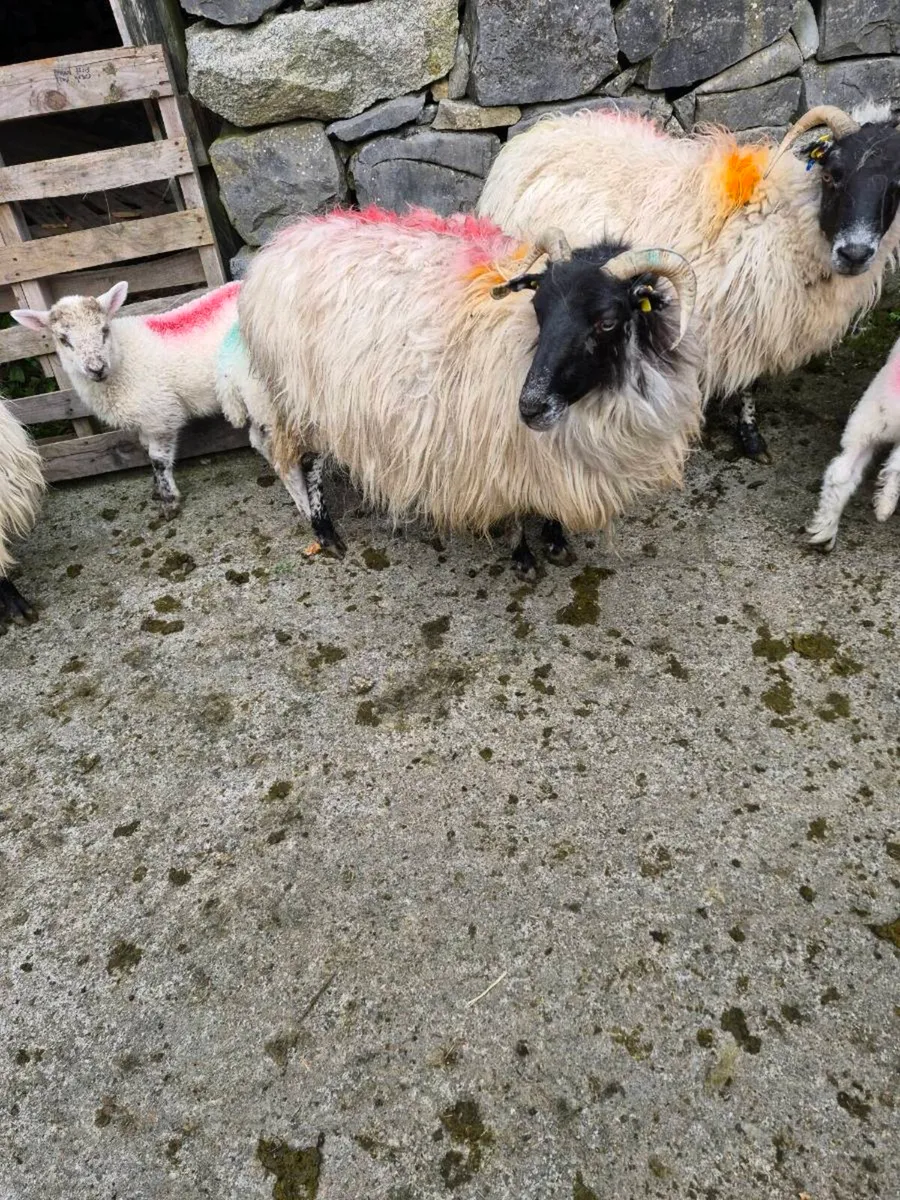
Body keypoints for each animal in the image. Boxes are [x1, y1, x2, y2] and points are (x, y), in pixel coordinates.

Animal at [9, 283, 323, 529]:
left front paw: (169, 500)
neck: (122, 361)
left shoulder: (159, 415)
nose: (96, 368)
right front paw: (157, 491)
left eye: (104, 330)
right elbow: (146, 449)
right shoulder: (145, 421)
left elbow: (158, 459)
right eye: (63, 340)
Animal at [238, 206, 701, 576]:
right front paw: (524, 558)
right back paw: (325, 532)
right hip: (298, 394)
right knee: (307, 462)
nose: (530, 407)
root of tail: (284, 242)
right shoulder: (499, 449)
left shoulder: (548, 455)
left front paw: (555, 541)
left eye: (607, 321)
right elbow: (515, 510)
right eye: (539, 308)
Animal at [477, 102, 900, 461]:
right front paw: (746, 435)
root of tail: (533, 136)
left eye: (897, 187)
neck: (783, 221)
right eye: (832, 175)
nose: (855, 253)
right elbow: (745, 383)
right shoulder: (729, 322)